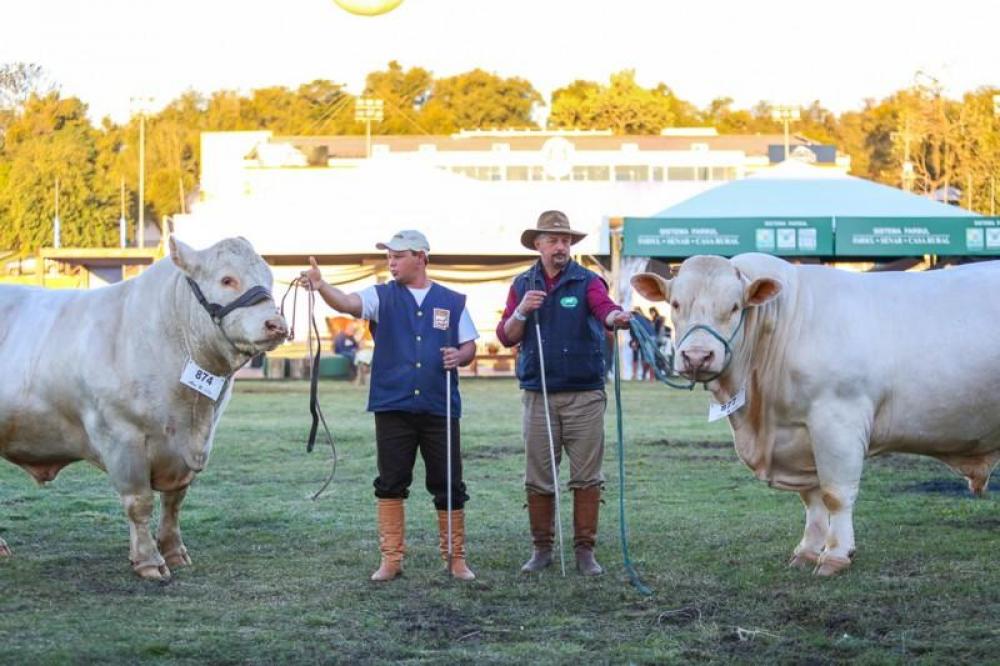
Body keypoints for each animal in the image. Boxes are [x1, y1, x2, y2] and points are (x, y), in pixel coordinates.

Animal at [0, 237, 290, 576]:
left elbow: (174, 501)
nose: (276, 324)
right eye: (227, 279)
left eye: (269, 278)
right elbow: (139, 502)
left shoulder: (193, 447)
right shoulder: (122, 437)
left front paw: (175, 552)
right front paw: (149, 561)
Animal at [632, 252, 1000, 572]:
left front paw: (836, 556)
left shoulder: (838, 419)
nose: (697, 356)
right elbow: (811, 498)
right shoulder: (800, 435)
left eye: (734, 307)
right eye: (676, 304)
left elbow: (836, 494)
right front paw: (807, 551)